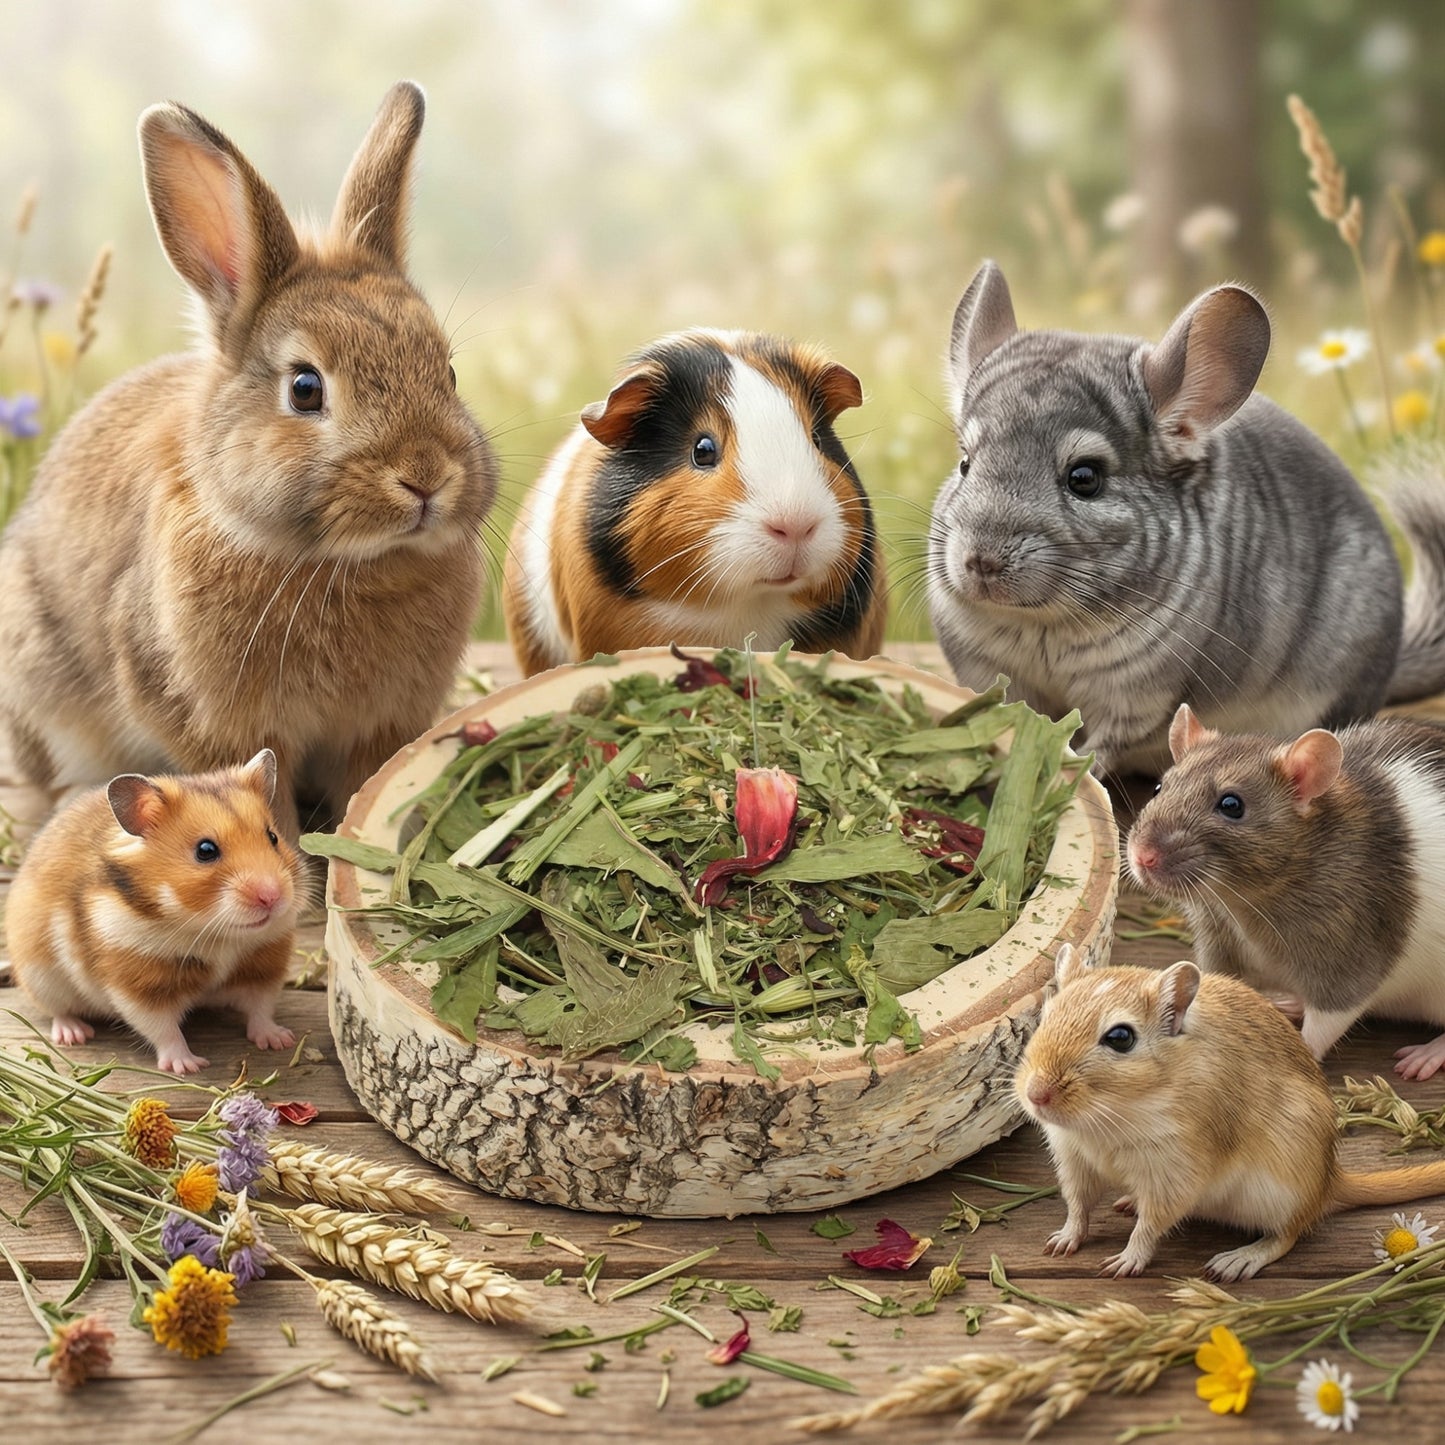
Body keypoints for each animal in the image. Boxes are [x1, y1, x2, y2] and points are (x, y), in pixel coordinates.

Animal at [0, 82, 497, 838]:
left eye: (447, 372)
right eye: (305, 388)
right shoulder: (218, 721)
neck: (345, 564)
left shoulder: (379, 726)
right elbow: (262, 797)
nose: (426, 478)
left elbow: (365, 784)